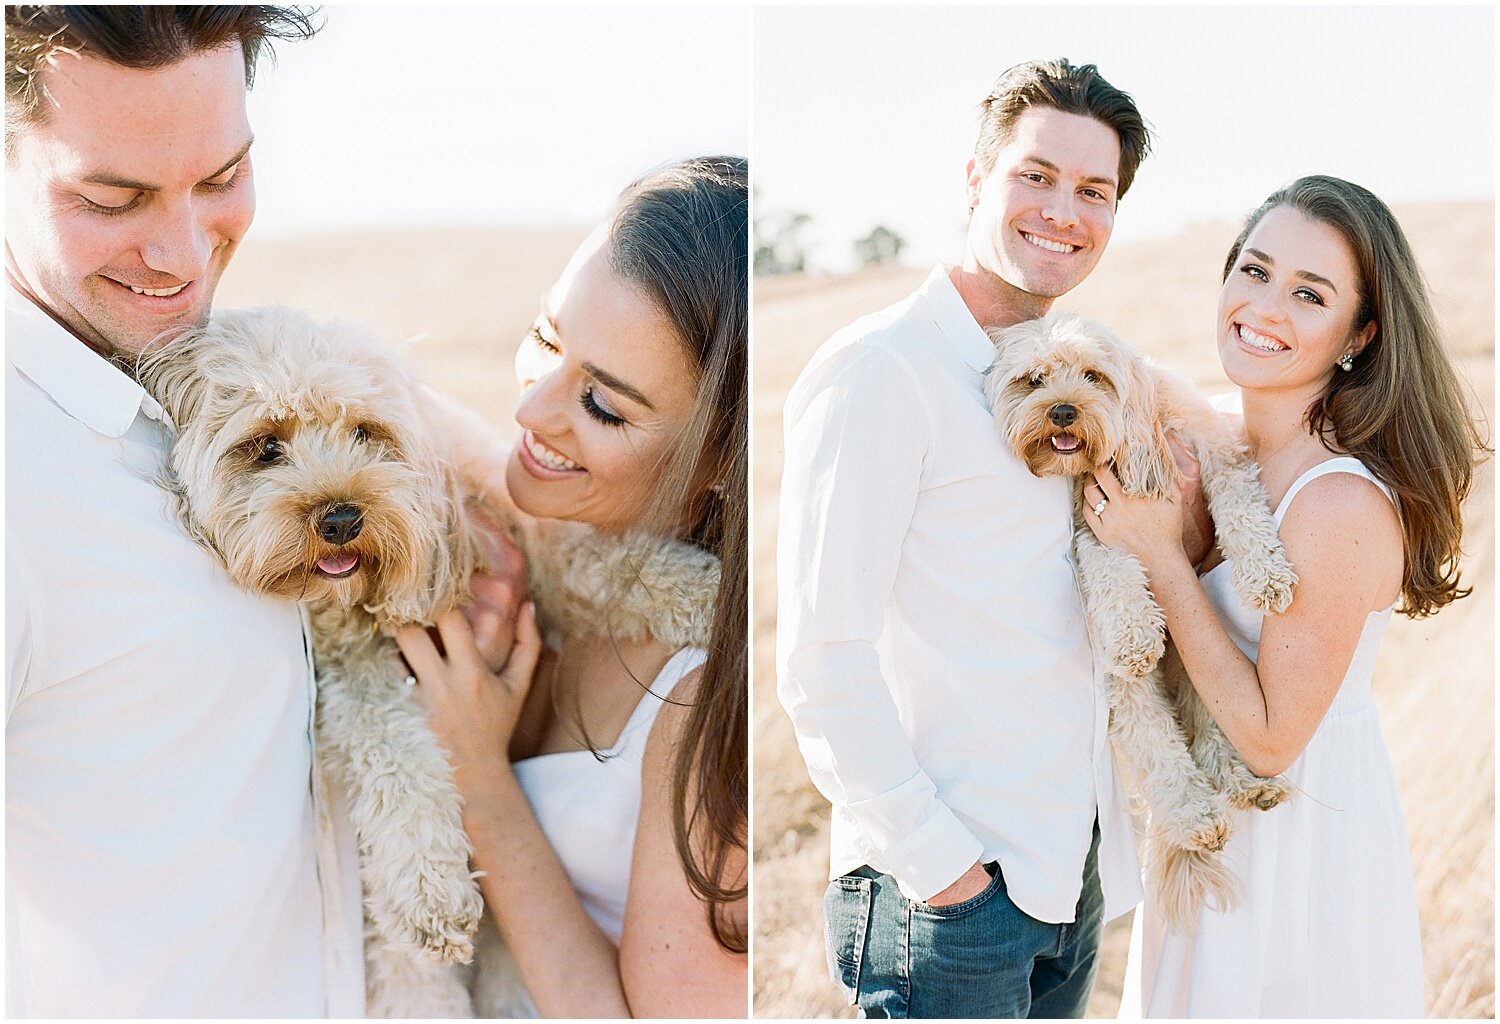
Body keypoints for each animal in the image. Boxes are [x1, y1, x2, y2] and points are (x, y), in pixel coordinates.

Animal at [138, 308, 717, 1013]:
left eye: (367, 431)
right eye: (266, 446)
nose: (341, 519)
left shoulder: (518, 532)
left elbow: (603, 562)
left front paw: (710, 593)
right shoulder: (350, 679)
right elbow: (395, 757)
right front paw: (431, 890)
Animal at [990, 310, 1296, 929]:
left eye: (1093, 375)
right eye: (1033, 380)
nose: (1063, 411)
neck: (1137, 437)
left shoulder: (1219, 455)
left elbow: (1240, 508)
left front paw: (1265, 576)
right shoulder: (1091, 521)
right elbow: (1110, 568)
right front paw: (1133, 634)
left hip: (1206, 671)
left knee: (1212, 734)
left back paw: (1246, 785)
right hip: (1132, 702)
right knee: (1164, 753)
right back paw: (1200, 815)